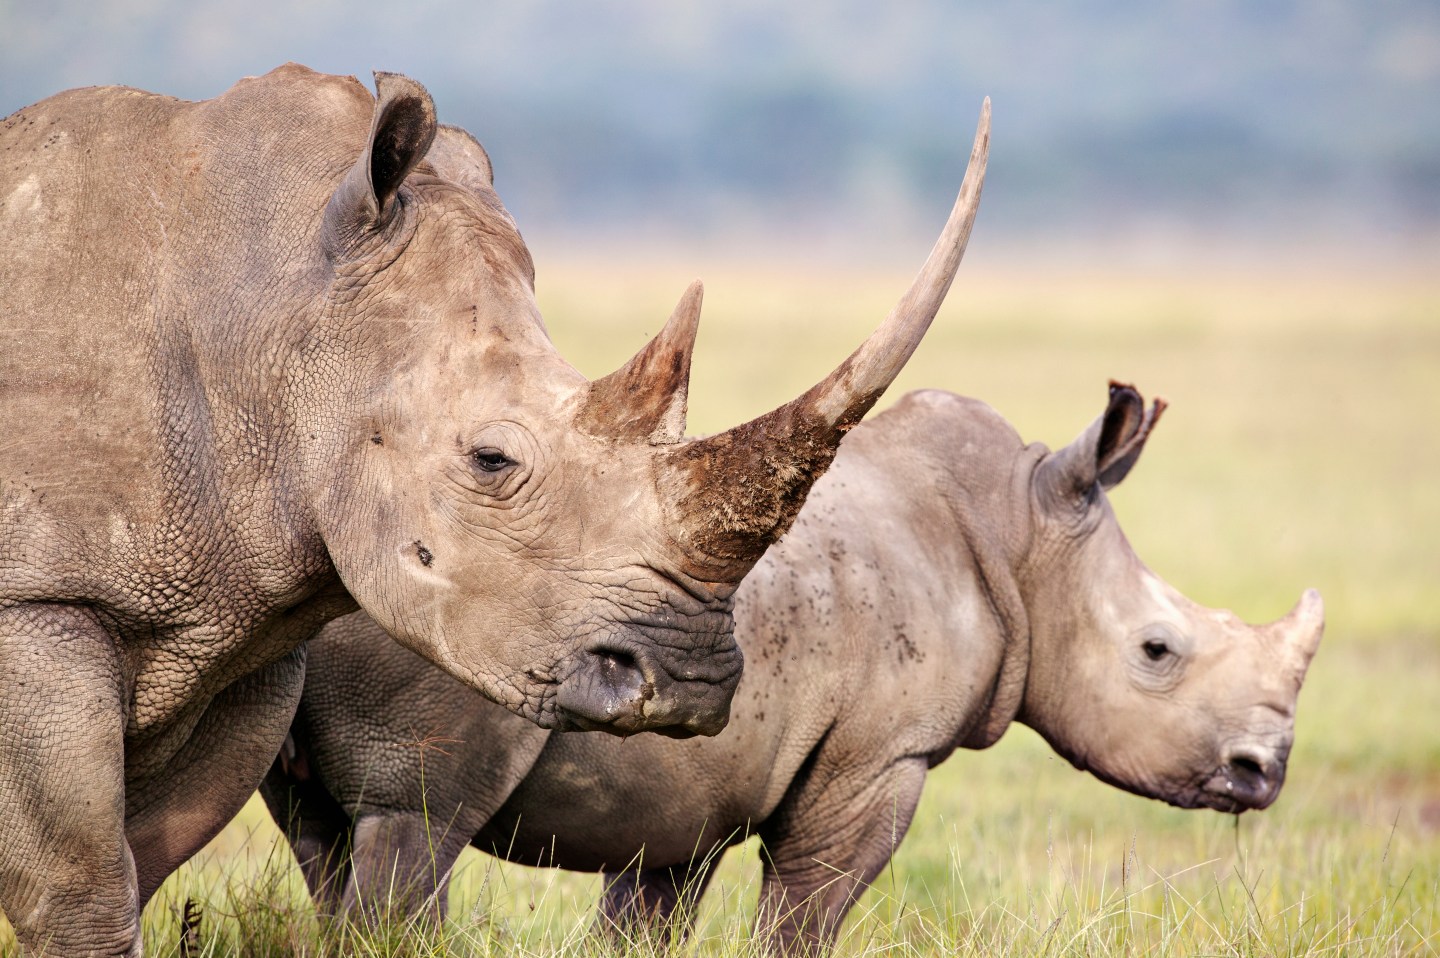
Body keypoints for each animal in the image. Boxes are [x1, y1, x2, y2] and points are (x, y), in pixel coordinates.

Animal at [0, 65, 989, 955]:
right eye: (492, 460)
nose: (691, 684)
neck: (274, 313)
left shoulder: (240, 623)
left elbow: (143, 857)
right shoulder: (38, 601)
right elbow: (82, 883)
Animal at [263, 383, 1324, 955]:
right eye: (1157, 651)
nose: (1263, 772)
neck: (1022, 533)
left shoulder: (687, 793)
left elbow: (645, 917)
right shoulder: (882, 756)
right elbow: (808, 914)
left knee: (325, 835)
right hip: (438, 612)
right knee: (415, 824)